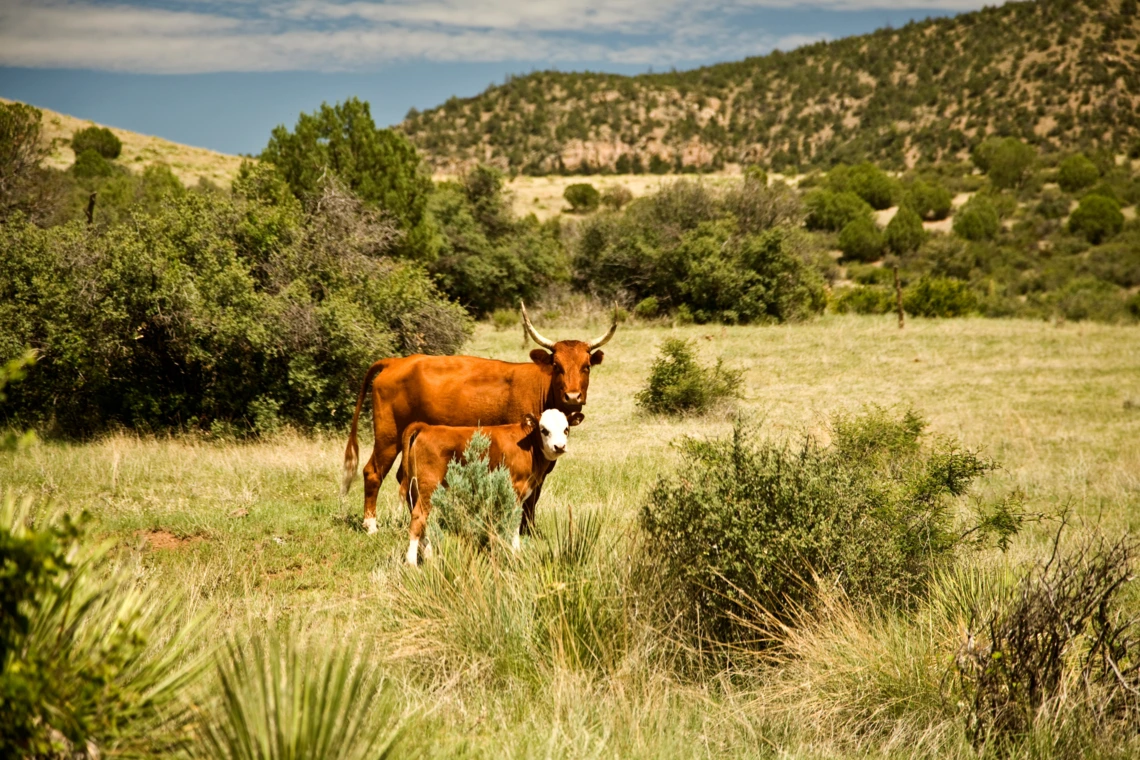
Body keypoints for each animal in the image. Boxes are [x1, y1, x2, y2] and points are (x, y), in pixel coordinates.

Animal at [342, 303, 620, 535]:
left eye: (586, 366)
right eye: (557, 366)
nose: (572, 396)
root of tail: (396, 362)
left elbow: (534, 496)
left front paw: (529, 530)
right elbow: (528, 498)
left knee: (406, 478)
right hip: (388, 435)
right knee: (373, 472)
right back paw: (371, 525)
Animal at [399, 410, 579, 565]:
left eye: (566, 429)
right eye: (544, 430)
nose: (559, 446)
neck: (529, 446)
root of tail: (427, 427)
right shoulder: (516, 490)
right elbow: (515, 523)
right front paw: (516, 552)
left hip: (417, 489)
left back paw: (428, 555)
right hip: (428, 487)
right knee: (418, 517)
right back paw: (412, 562)